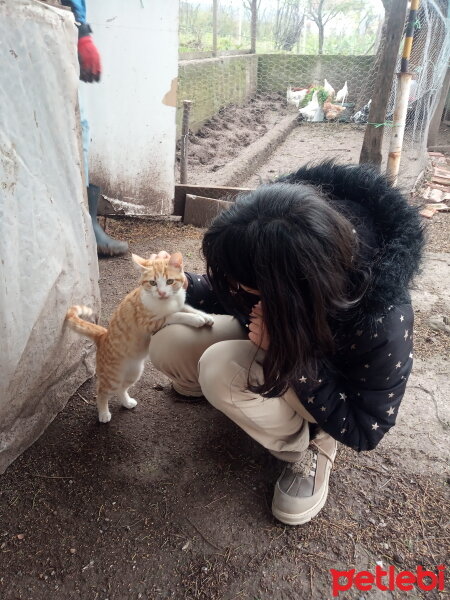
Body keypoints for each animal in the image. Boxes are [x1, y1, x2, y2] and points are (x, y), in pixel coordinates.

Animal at [66, 252, 214, 422]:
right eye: (153, 283)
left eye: (170, 281)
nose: (162, 293)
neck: (168, 302)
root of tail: (103, 335)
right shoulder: (150, 323)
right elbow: (175, 315)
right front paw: (196, 320)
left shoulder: (179, 304)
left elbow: (187, 308)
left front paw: (205, 316)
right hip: (112, 376)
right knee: (102, 391)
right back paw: (103, 413)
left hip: (134, 372)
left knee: (121, 388)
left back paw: (126, 402)